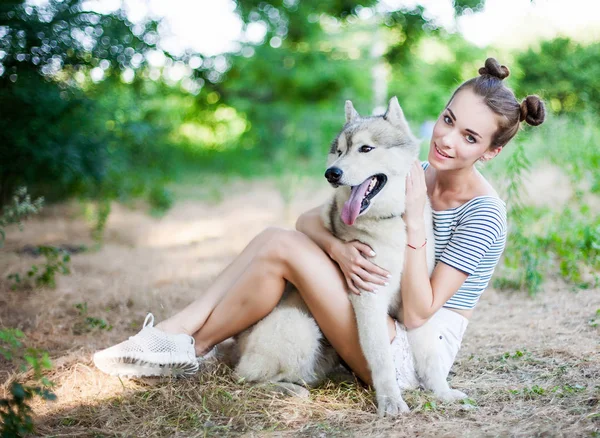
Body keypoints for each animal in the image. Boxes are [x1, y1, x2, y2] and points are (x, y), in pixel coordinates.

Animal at [234, 97, 464, 416]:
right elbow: (382, 358)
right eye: (339, 151)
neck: (392, 222)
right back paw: (289, 390)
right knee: (246, 377)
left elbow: (430, 355)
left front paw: (442, 392)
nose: (332, 173)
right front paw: (391, 401)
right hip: (300, 327)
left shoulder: (416, 303)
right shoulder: (369, 298)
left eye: (366, 148)